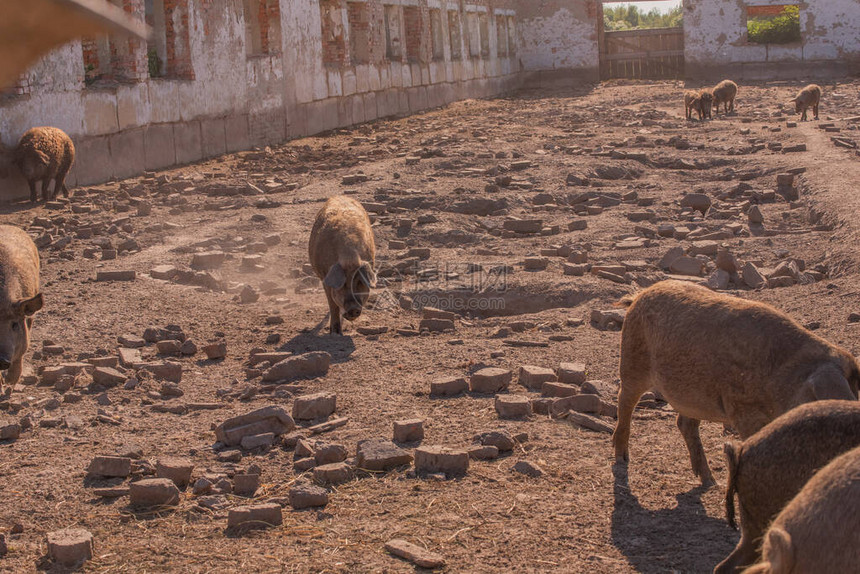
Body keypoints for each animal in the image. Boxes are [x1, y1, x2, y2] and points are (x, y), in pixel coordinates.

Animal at [310, 196, 376, 336]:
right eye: (343, 284)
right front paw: (335, 333)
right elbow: (333, 305)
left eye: (359, 282)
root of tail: (339, 195)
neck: (349, 258)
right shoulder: (325, 278)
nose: (353, 308)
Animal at [612, 282, 860, 488]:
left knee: (685, 423)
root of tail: (639, 295)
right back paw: (622, 458)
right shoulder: (743, 409)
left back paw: (710, 482)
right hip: (633, 360)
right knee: (625, 401)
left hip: (692, 395)